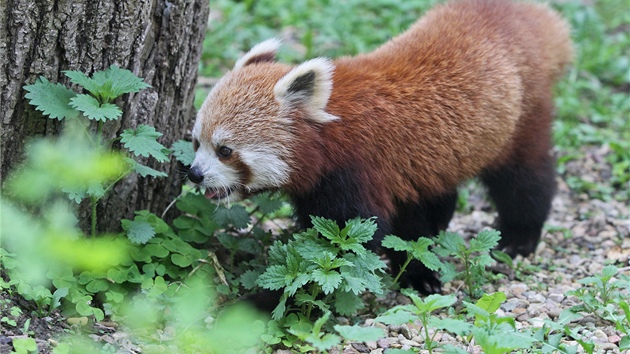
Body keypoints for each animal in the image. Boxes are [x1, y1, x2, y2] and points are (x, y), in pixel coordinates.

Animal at [188, 0, 572, 294]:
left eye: (225, 150)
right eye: (196, 141)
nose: (194, 174)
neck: (329, 133)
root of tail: (531, 16)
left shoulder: (353, 173)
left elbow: (339, 251)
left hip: (521, 116)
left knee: (525, 179)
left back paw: (519, 237)